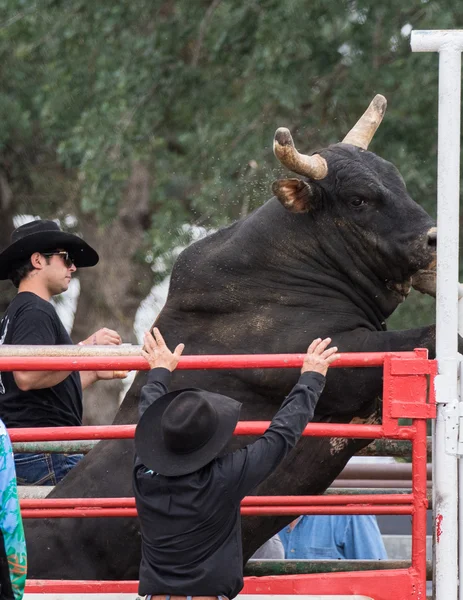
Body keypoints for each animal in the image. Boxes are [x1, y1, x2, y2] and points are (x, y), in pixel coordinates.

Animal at [25, 99, 446, 580]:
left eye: (398, 183)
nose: (436, 241)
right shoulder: (348, 363)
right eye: (359, 199)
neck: (288, 270)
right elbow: (425, 337)